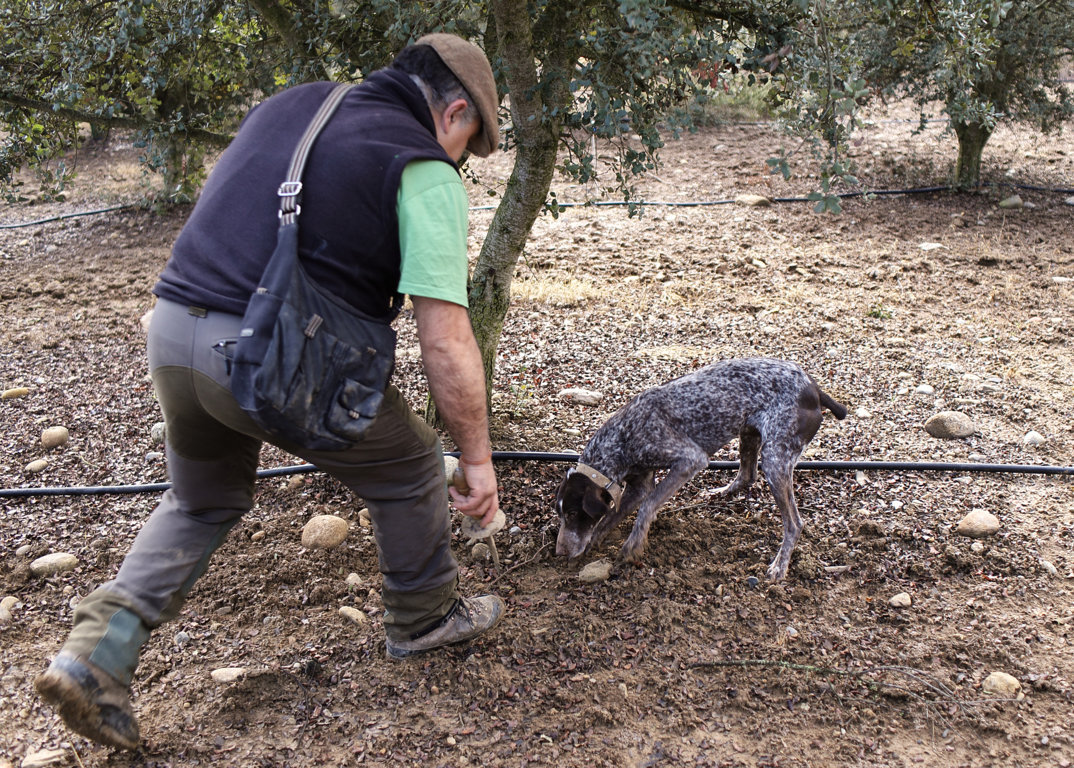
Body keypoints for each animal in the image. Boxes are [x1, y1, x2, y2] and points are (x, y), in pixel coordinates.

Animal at [554, 356, 846, 580]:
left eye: (572, 513)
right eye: (561, 514)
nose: (559, 552)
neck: (622, 438)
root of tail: (814, 389)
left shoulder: (689, 460)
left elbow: (647, 506)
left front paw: (632, 547)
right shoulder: (638, 484)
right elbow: (611, 517)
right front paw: (594, 542)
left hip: (776, 459)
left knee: (794, 523)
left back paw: (779, 565)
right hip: (749, 433)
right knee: (747, 474)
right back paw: (720, 492)